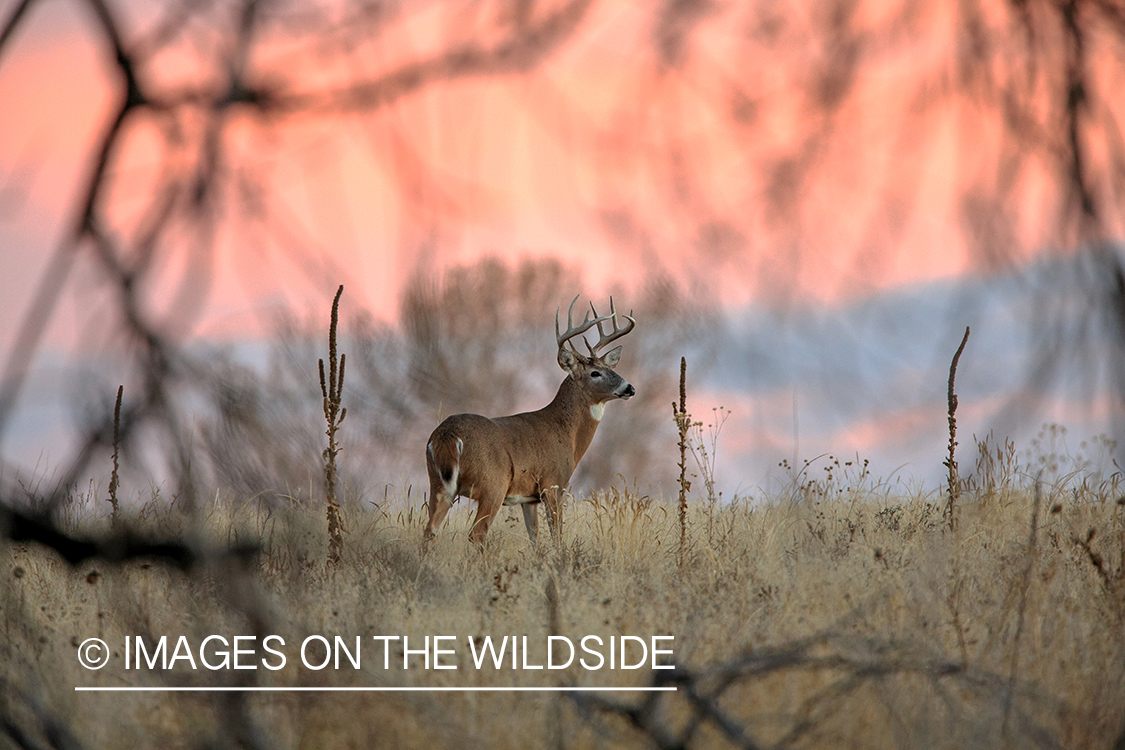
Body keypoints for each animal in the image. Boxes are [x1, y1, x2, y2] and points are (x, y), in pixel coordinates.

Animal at [423, 296, 639, 548]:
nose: (629, 388)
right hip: (492, 485)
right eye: (595, 373)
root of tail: (447, 435)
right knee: (477, 534)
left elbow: (534, 540)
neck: (566, 433)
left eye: (610, 368)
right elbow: (557, 537)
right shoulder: (553, 484)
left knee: (429, 532)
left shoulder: (529, 498)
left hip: (438, 484)